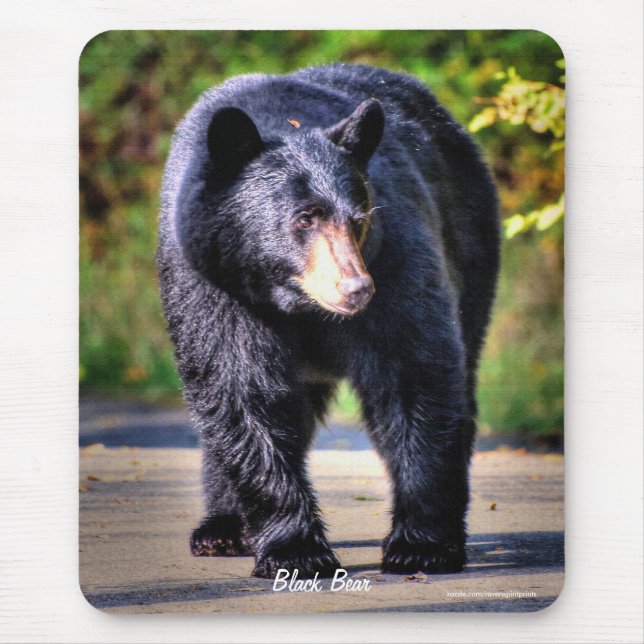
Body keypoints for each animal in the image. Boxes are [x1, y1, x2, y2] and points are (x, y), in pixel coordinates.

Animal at [157, 63, 500, 579]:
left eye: (357, 219)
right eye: (305, 218)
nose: (356, 289)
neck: (295, 302)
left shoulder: (395, 258)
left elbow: (413, 370)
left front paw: (421, 545)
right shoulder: (213, 284)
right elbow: (240, 388)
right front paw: (297, 551)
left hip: (472, 242)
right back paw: (220, 529)